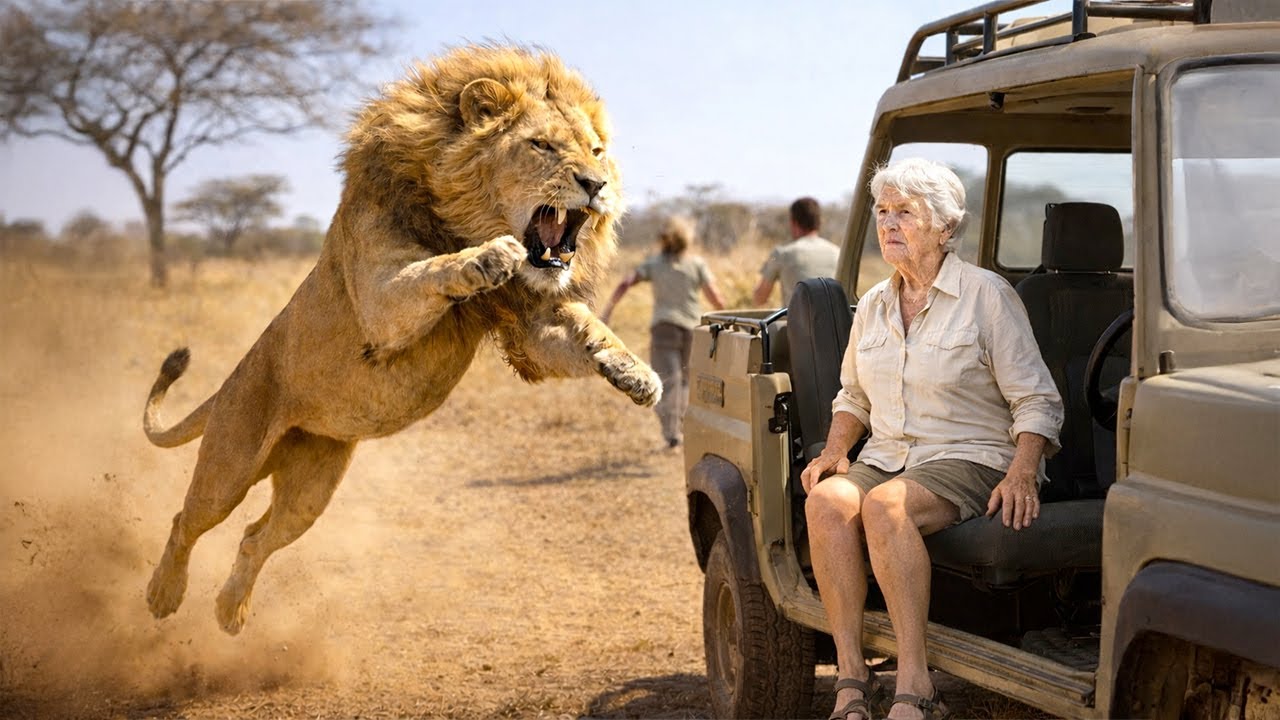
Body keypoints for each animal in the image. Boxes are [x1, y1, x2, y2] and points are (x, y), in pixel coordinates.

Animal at [141, 45, 661, 635]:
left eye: (597, 151)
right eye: (542, 146)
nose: (597, 185)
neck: (459, 213)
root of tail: (227, 384)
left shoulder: (532, 323)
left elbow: (588, 329)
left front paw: (635, 372)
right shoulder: (379, 303)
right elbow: (429, 271)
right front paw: (487, 257)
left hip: (311, 487)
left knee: (256, 538)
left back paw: (231, 609)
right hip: (230, 461)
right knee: (187, 518)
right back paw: (163, 593)